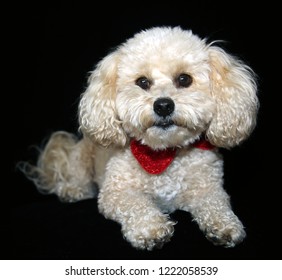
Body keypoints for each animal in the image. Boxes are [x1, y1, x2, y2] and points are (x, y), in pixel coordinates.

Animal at [21, 25, 260, 249]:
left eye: (184, 79)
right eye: (143, 82)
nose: (163, 105)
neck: (164, 154)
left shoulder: (209, 187)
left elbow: (217, 203)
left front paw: (225, 225)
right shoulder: (116, 192)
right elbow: (137, 203)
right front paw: (151, 228)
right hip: (82, 158)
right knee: (76, 176)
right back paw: (72, 189)